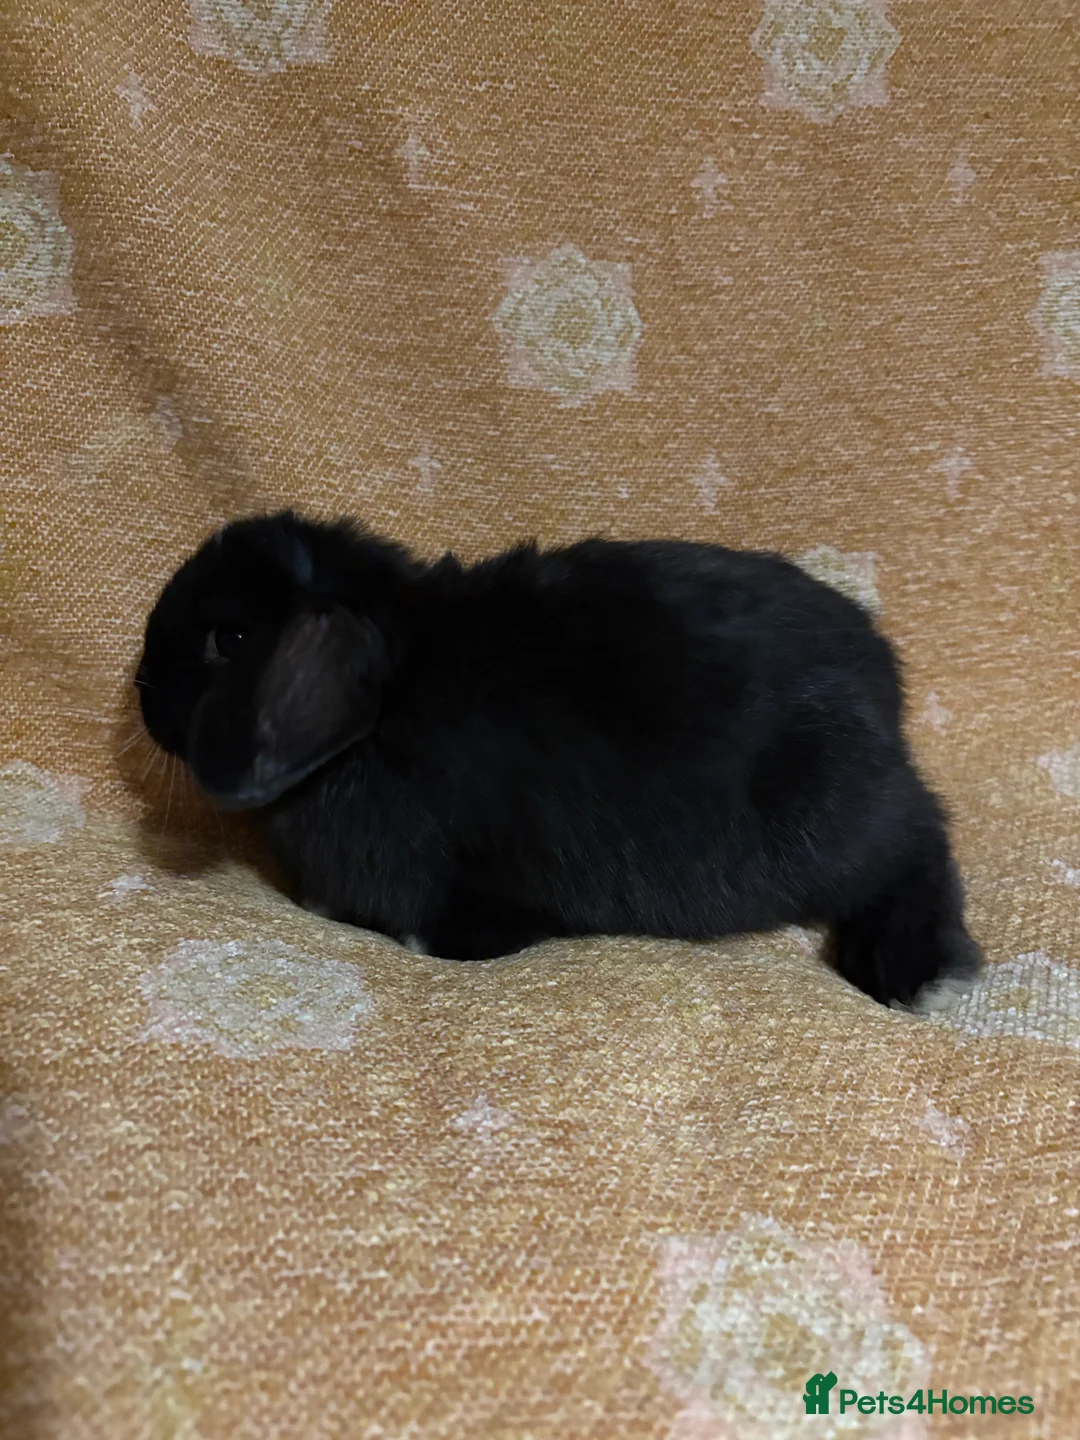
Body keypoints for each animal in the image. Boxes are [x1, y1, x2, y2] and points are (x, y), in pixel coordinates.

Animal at [136, 510, 983, 1010]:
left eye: (230, 639)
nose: (141, 690)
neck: (389, 705)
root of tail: (882, 680)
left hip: (829, 819)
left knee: (920, 842)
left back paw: (904, 969)